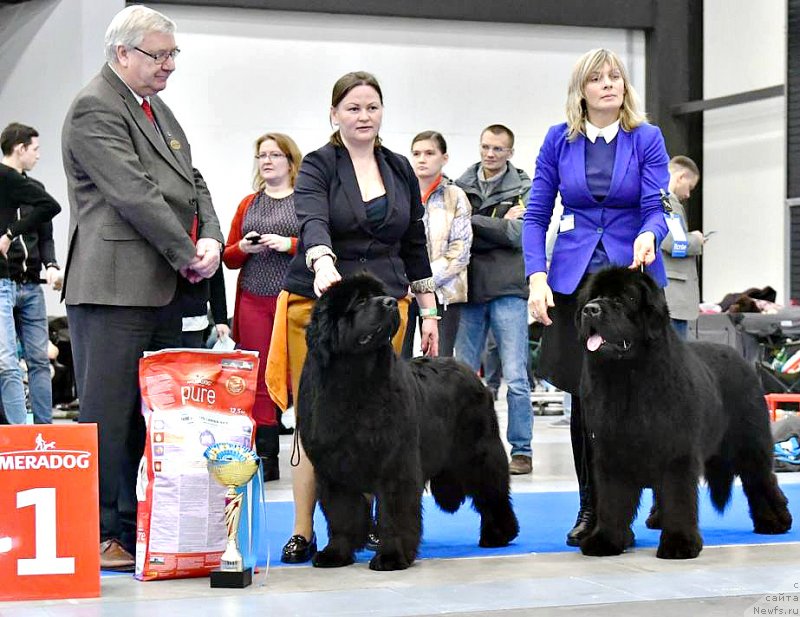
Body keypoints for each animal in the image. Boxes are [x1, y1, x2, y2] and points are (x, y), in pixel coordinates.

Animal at [298, 272, 520, 572]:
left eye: (379, 294)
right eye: (361, 301)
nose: (391, 302)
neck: (354, 381)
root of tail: (470, 371)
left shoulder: (396, 464)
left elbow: (394, 513)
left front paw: (391, 557)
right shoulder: (332, 469)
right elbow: (341, 514)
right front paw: (336, 554)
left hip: (479, 453)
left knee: (492, 493)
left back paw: (498, 534)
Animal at [580, 264, 792, 560]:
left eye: (621, 299)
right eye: (593, 296)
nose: (590, 310)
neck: (629, 378)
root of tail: (741, 357)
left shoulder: (677, 453)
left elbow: (679, 498)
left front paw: (679, 543)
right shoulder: (612, 453)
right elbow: (612, 501)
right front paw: (605, 540)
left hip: (750, 443)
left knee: (761, 481)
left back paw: (775, 522)